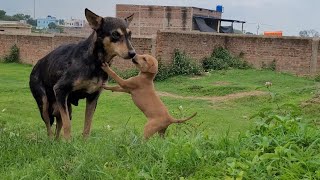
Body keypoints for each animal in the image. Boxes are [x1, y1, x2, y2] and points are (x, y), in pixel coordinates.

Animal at [28, 9, 135, 140]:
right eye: (115, 34)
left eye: (130, 34)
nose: (133, 53)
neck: (95, 61)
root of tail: (36, 66)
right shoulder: (60, 89)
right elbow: (68, 126)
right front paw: (69, 142)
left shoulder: (93, 97)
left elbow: (87, 125)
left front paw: (84, 142)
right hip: (44, 104)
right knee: (49, 127)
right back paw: (51, 141)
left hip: (65, 107)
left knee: (58, 125)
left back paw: (57, 142)